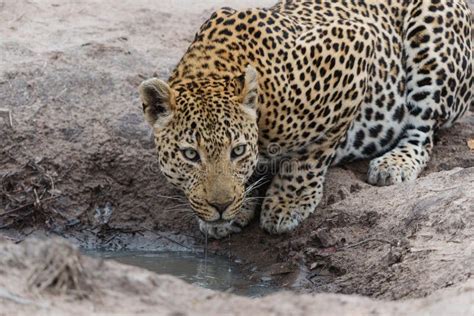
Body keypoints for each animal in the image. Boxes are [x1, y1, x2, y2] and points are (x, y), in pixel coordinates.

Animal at [136, 0, 470, 237]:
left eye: (238, 150)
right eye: (191, 155)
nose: (220, 206)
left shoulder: (354, 44)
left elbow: (312, 154)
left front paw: (287, 202)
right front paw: (238, 206)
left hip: (431, 48)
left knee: (422, 132)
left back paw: (395, 164)